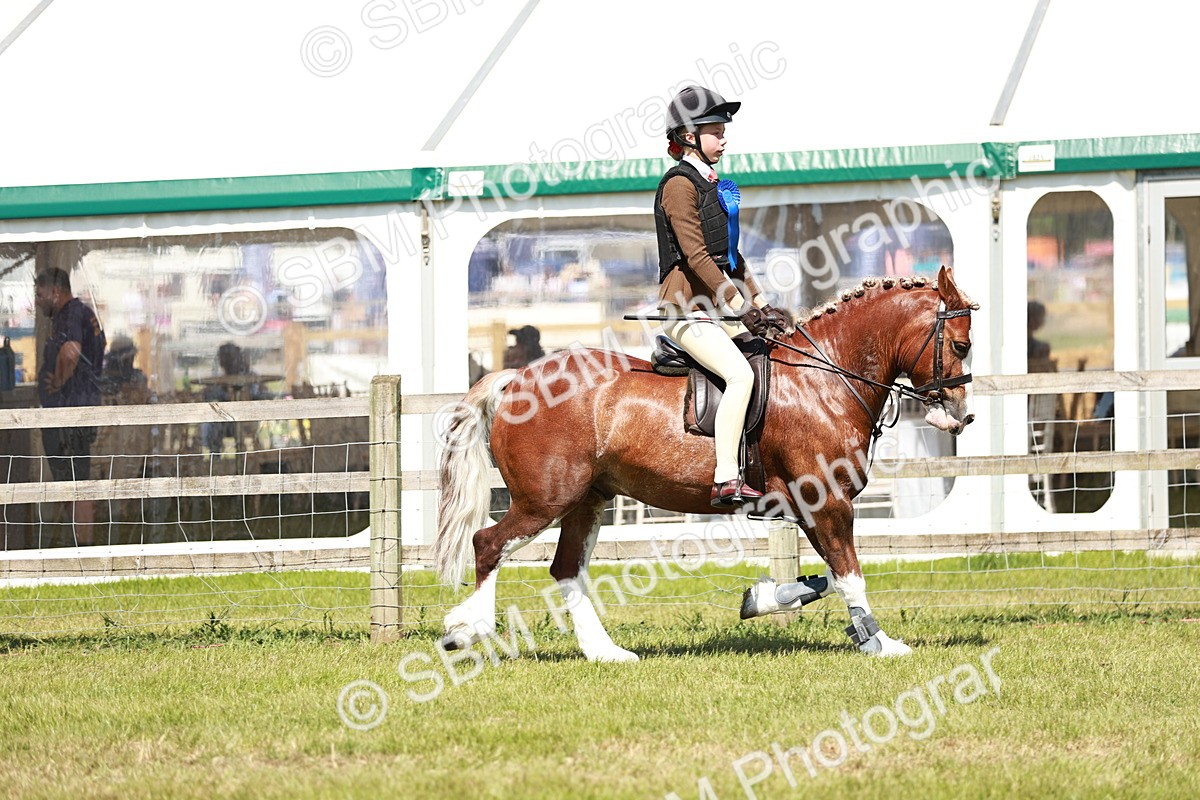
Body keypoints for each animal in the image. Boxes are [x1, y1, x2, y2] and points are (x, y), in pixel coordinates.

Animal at [434, 265, 976, 660]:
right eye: (961, 344)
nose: (960, 416)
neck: (824, 378)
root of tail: (520, 379)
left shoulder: (812, 509)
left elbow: (825, 577)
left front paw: (762, 600)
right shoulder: (828, 502)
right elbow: (849, 574)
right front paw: (880, 643)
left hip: (587, 500)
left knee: (565, 568)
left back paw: (607, 653)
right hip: (545, 499)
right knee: (488, 544)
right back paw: (465, 629)